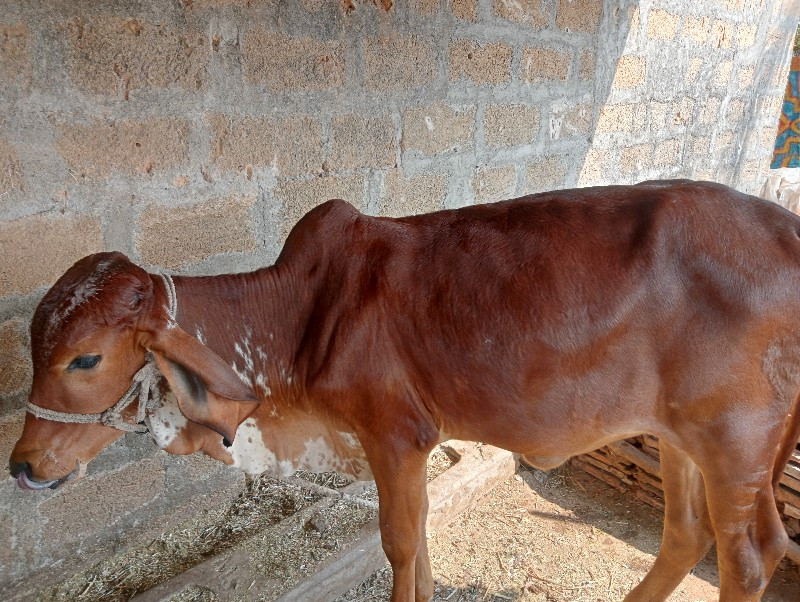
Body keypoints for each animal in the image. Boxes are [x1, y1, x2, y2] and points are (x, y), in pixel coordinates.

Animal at [7, 179, 800, 600]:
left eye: (84, 359)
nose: (22, 465)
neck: (299, 314)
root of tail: (787, 227)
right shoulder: (410, 449)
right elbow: (417, 540)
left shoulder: (394, 437)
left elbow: (396, 542)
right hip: (678, 438)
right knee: (686, 533)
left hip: (733, 442)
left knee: (751, 555)